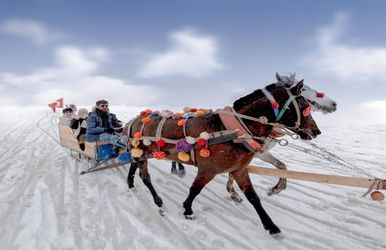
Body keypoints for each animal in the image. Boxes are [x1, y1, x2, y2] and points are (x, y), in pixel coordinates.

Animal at [126, 79, 320, 235]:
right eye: (304, 106)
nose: (316, 131)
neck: (234, 131)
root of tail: (134, 120)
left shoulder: (239, 169)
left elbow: (253, 197)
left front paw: (270, 226)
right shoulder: (208, 170)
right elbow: (195, 190)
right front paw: (188, 210)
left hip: (141, 154)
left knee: (134, 167)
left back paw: (131, 184)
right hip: (142, 152)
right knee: (145, 176)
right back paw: (158, 202)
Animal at [226, 72, 338, 201]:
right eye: (303, 89)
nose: (334, 104)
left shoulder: (261, 153)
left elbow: (281, 166)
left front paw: (276, 189)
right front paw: (233, 193)